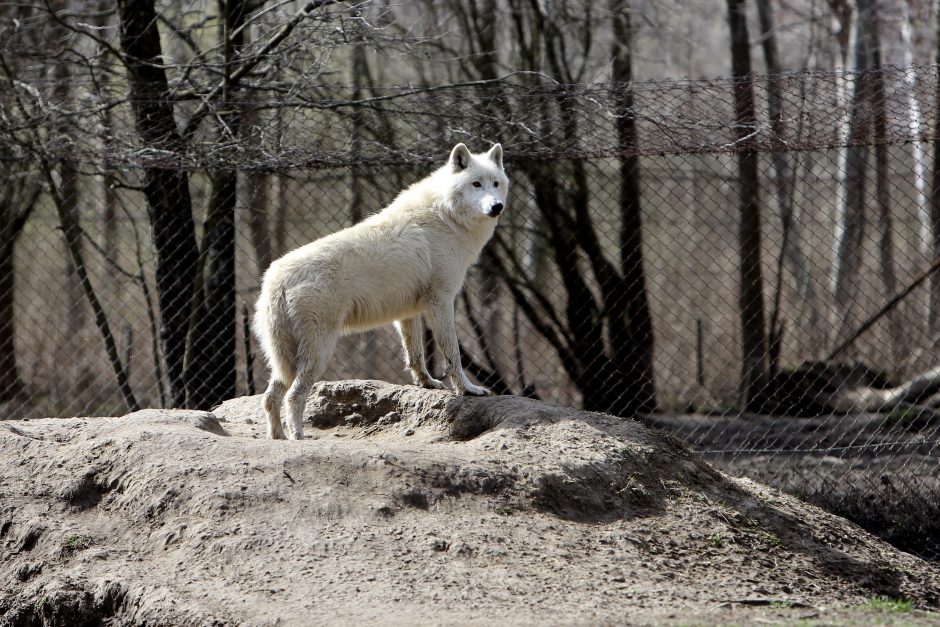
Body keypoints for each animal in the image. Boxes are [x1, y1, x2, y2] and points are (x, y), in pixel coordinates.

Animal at [253, 143, 510, 440]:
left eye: (496, 183)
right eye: (476, 184)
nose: (497, 206)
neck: (446, 218)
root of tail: (276, 278)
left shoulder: (409, 312)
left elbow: (416, 356)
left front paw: (428, 383)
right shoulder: (442, 301)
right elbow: (453, 355)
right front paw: (468, 389)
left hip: (284, 358)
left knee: (270, 397)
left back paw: (278, 437)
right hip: (319, 351)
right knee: (294, 396)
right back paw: (298, 438)